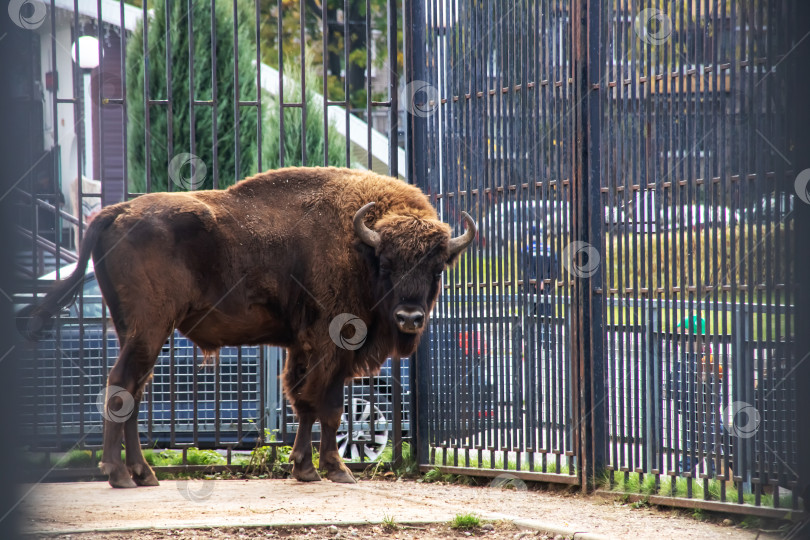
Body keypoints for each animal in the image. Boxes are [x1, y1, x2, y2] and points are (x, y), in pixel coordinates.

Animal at [23, 167, 474, 488]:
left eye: (437, 269)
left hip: (134, 332)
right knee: (121, 386)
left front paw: (303, 468)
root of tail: (115, 212)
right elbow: (328, 407)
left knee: (133, 390)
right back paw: (118, 474)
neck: (359, 244)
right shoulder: (332, 346)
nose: (410, 317)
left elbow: (302, 402)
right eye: (387, 264)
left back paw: (143, 474)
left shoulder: (301, 348)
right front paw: (336, 469)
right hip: (148, 330)